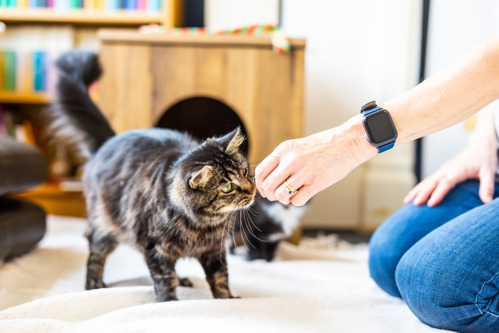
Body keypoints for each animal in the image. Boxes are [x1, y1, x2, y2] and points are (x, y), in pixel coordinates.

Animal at [48, 51, 256, 300]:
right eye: (227, 187)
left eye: (245, 172)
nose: (251, 190)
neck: (202, 226)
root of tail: (109, 141)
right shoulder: (155, 249)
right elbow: (164, 280)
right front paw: (169, 301)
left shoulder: (214, 250)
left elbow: (220, 280)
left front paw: (226, 300)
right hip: (108, 227)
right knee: (95, 251)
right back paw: (93, 284)